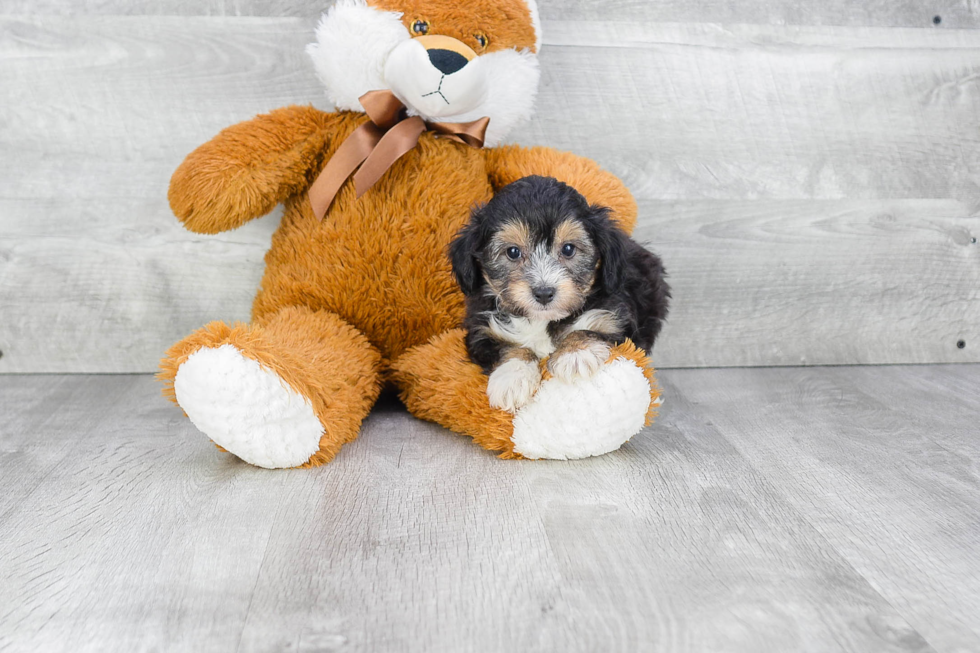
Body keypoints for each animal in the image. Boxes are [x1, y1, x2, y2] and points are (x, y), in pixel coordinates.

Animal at [450, 176, 668, 410]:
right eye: (513, 252)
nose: (544, 292)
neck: (542, 320)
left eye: (568, 249)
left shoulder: (617, 321)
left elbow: (591, 330)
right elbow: (507, 346)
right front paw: (513, 377)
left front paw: (576, 353)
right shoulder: (480, 330)